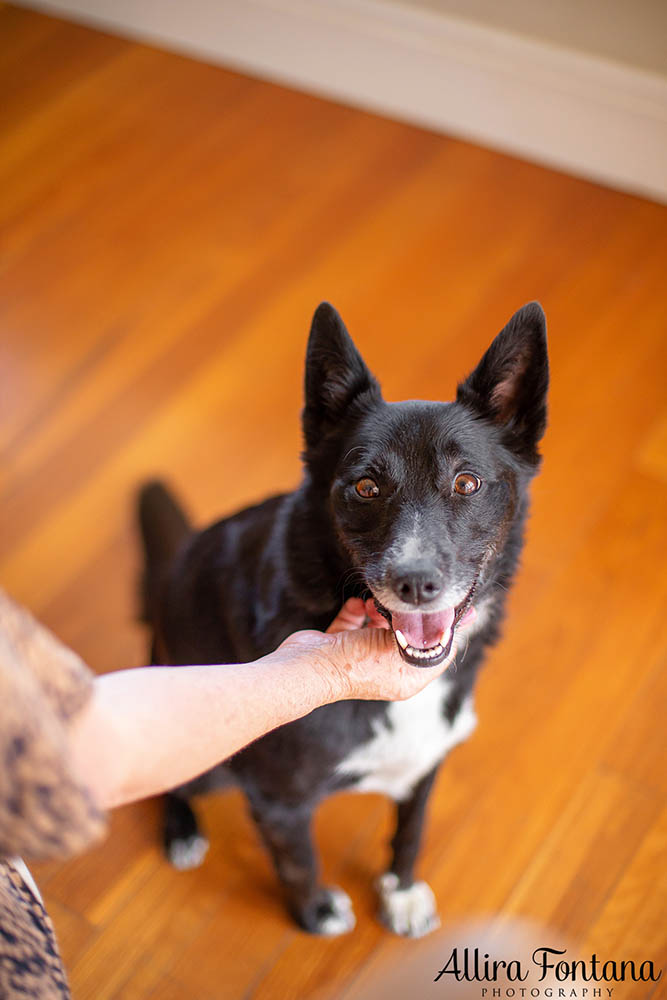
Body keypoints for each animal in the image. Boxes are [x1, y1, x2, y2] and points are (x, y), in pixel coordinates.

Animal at [140, 300, 548, 940]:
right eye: (365, 486)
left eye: (466, 483)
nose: (415, 583)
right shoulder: (278, 798)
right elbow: (298, 860)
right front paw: (313, 915)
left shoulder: (428, 761)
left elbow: (411, 832)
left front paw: (400, 894)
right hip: (203, 752)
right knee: (169, 784)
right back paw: (181, 831)